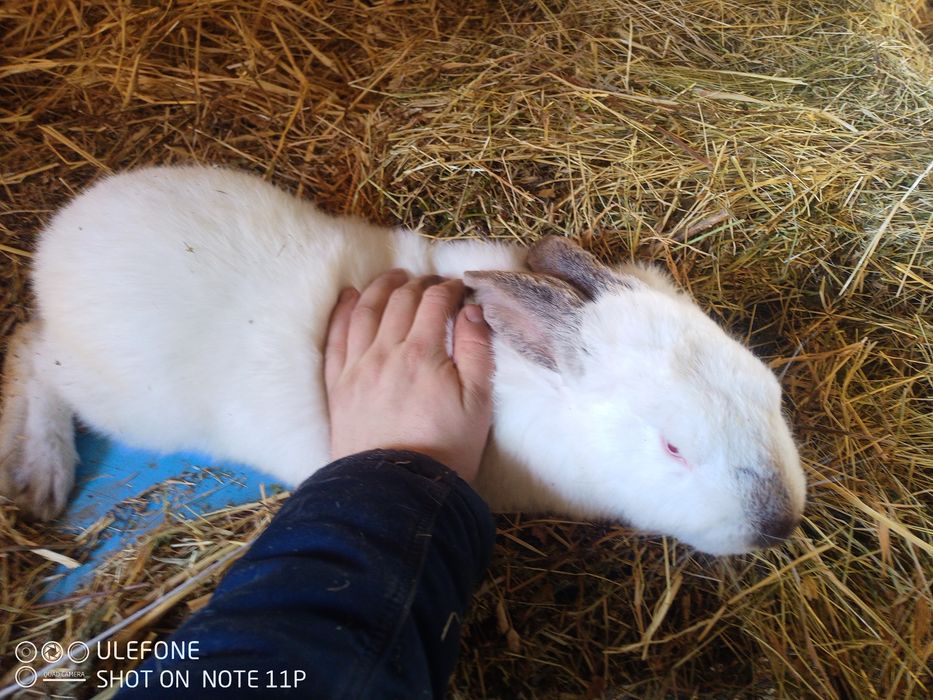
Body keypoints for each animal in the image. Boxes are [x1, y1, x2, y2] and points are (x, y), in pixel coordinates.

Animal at [0, 165, 806, 555]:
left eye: (769, 392)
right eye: (672, 447)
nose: (780, 525)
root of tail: (59, 238)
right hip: (110, 392)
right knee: (28, 350)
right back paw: (41, 477)